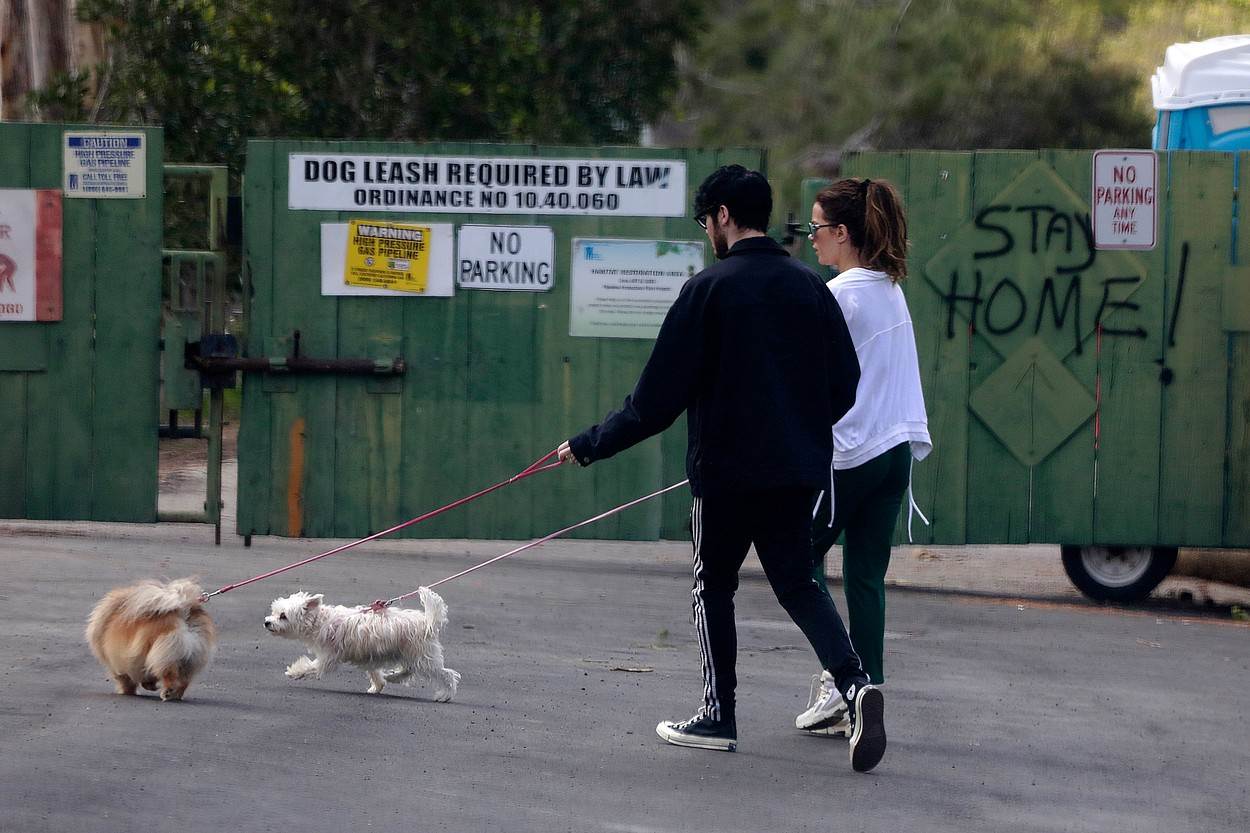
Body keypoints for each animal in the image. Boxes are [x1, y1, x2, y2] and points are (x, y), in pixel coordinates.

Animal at [85, 575, 217, 695]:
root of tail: (183, 611)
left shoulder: (118, 665)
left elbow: (126, 679)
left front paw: (127, 691)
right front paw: (149, 686)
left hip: (165, 652)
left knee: (168, 672)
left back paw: (168, 692)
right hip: (190, 658)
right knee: (184, 680)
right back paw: (176, 694)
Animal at [262, 582, 460, 700]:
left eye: (283, 616)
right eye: (274, 612)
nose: (267, 622)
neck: (321, 621)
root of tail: (427, 622)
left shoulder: (328, 657)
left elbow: (311, 667)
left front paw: (294, 672)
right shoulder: (369, 656)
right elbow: (375, 673)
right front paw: (378, 685)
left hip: (424, 658)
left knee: (446, 674)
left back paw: (445, 695)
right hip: (411, 655)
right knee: (409, 670)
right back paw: (393, 676)